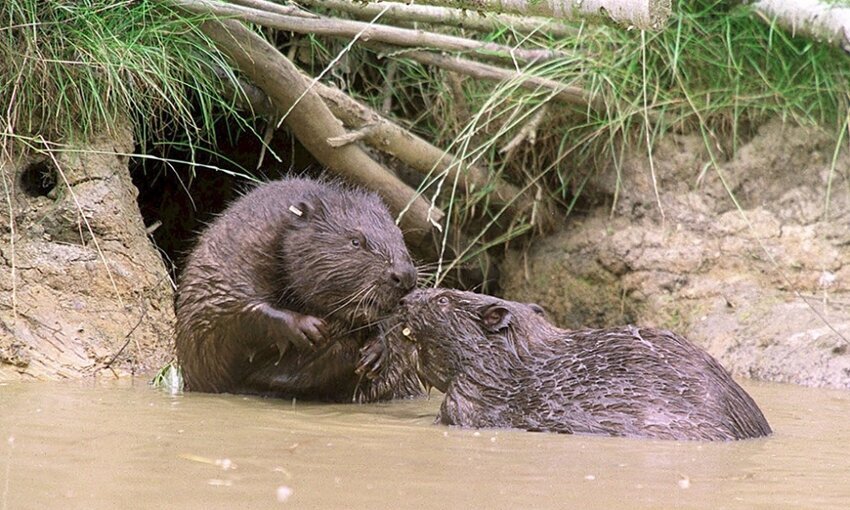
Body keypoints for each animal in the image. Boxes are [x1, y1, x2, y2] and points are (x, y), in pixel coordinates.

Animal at [174, 177, 422, 400]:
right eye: (355, 241)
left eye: (399, 236)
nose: (405, 275)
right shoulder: (237, 257)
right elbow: (224, 315)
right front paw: (309, 328)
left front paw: (375, 352)